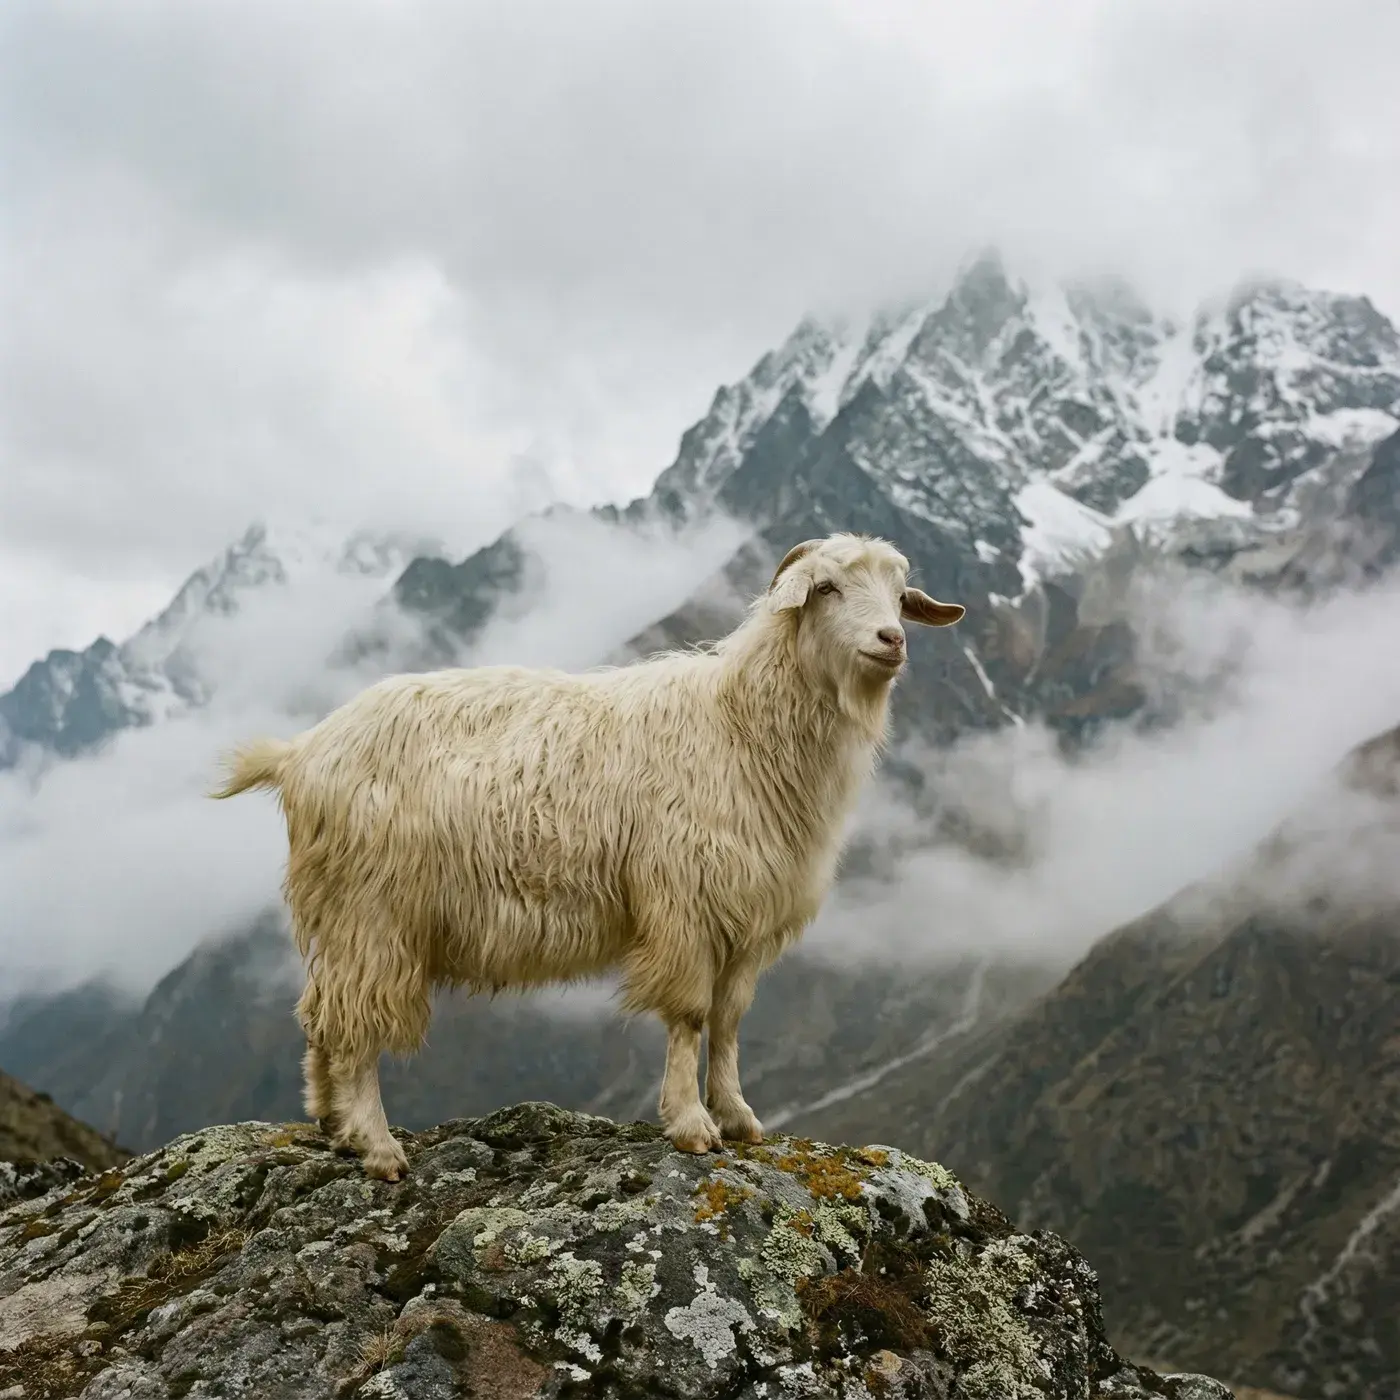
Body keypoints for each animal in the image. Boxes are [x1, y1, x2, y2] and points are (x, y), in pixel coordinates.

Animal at [211, 532, 964, 1179]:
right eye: (829, 588)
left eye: (899, 594)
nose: (892, 640)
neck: (740, 723)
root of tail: (302, 752)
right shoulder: (683, 900)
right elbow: (691, 1016)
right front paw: (691, 1125)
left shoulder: (748, 915)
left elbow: (729, 1020)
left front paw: (740, 1117)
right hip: (373, 912)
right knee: (357, 1023)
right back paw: (375, 1143)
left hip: (342, 916)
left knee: (320, 1014)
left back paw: (331, 1125)